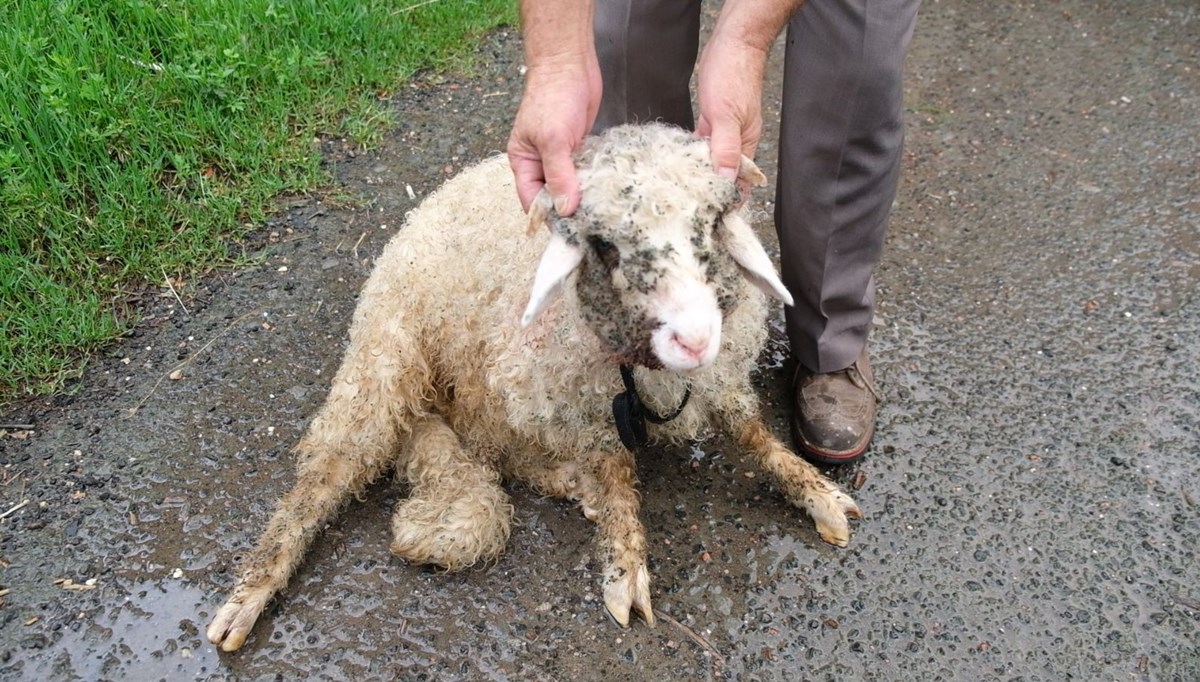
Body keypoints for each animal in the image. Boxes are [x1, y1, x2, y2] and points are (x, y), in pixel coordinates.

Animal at [208, 121, 864, 648]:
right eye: (604, 244)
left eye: (713, 220)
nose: (695, 338)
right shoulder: (574, 401)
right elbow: (615, 474)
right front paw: (624, 565)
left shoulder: (716, 380)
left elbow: (752, 431)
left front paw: (815, 491)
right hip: (388, 359)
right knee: (330, 470)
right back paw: (249, 594)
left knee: (483, 443)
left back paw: (560, 478)